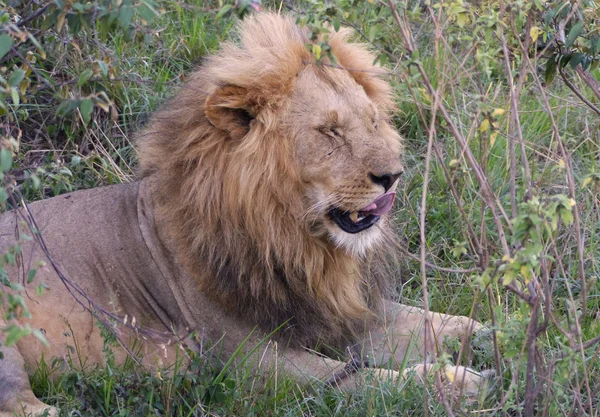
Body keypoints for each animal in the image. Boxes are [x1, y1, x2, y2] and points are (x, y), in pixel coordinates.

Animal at [0, 13, 486, 416]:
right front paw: (457, 386)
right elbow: (357, 379)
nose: (393, 177)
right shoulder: (246, 362)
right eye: (329, 131)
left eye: (372, 122)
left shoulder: (335, 313)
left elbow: (448, 325)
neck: (294, 240)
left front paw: (496, 338)